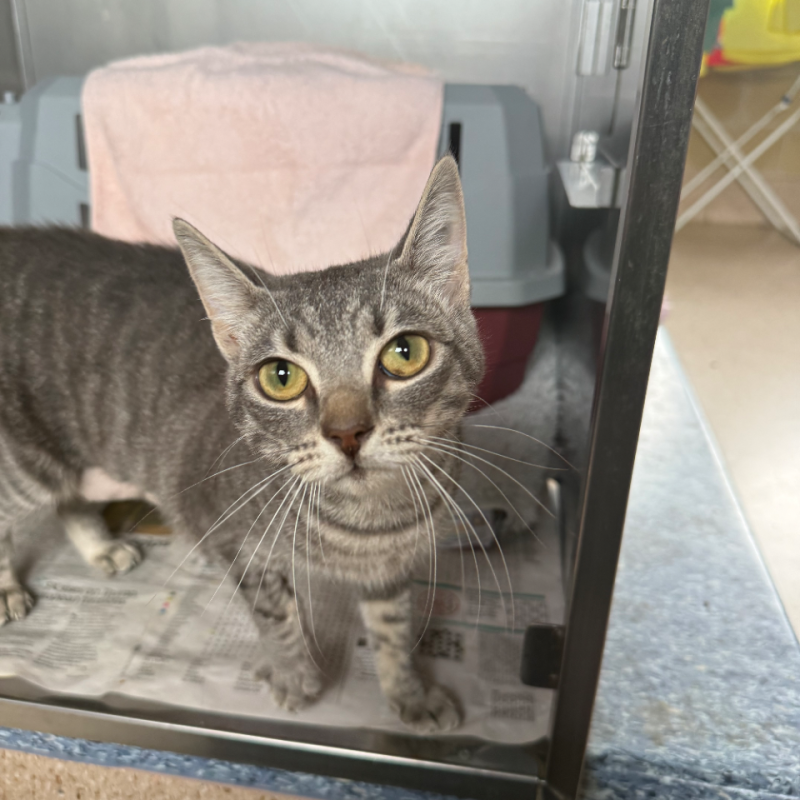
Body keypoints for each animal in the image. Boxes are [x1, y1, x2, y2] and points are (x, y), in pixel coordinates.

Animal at [0, 156, 483, 732]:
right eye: (280, 377)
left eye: (405, 352)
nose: (347, 432)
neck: (368, 523)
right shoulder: (232, 538)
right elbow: (274, 614)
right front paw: (294, 675)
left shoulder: (391, 569)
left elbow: (393, 629)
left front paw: (409, 693)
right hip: (24, 461)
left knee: (67, 498)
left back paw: (101, 547)